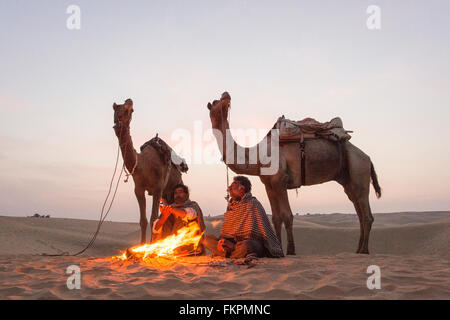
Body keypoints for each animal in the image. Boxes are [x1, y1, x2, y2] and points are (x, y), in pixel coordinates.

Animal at [115, 99, 189, 244]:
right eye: (115, 108)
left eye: (130, 110)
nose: (129, 100)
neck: (142, 164)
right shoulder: (138, 189)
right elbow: (143, 221)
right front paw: (142, 244)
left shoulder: (157, 189)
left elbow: (153, 218)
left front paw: (150, 245)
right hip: (166, 195)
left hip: (173, 189)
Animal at [206, 92, 382, 255]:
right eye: (215, 102)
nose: (226, 95)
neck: (256, 155)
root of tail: (368, 158)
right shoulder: (269, 184)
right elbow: (276, 218)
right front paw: (278, 248)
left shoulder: (280, 180)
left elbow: (287, 215)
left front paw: (290, 250)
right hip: (348, 180)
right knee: (358, 210)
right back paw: (358, 249)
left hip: (359, 170)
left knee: (366, 213)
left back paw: (364, 250)